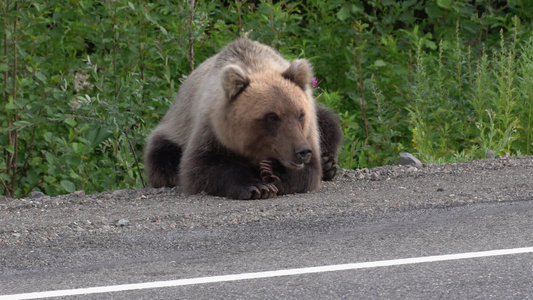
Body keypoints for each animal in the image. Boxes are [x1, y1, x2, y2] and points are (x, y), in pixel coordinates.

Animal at [144, 38, 340, 199]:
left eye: (300, 115)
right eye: (272, 117)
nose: (302, 151)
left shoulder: (309, 131)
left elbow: (309, 171)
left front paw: (272, 170)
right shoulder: (210, 129)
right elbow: (202, 167)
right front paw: (257, 186)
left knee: (330, 123)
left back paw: (328, 163)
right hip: (173, 130)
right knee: (161, 156)